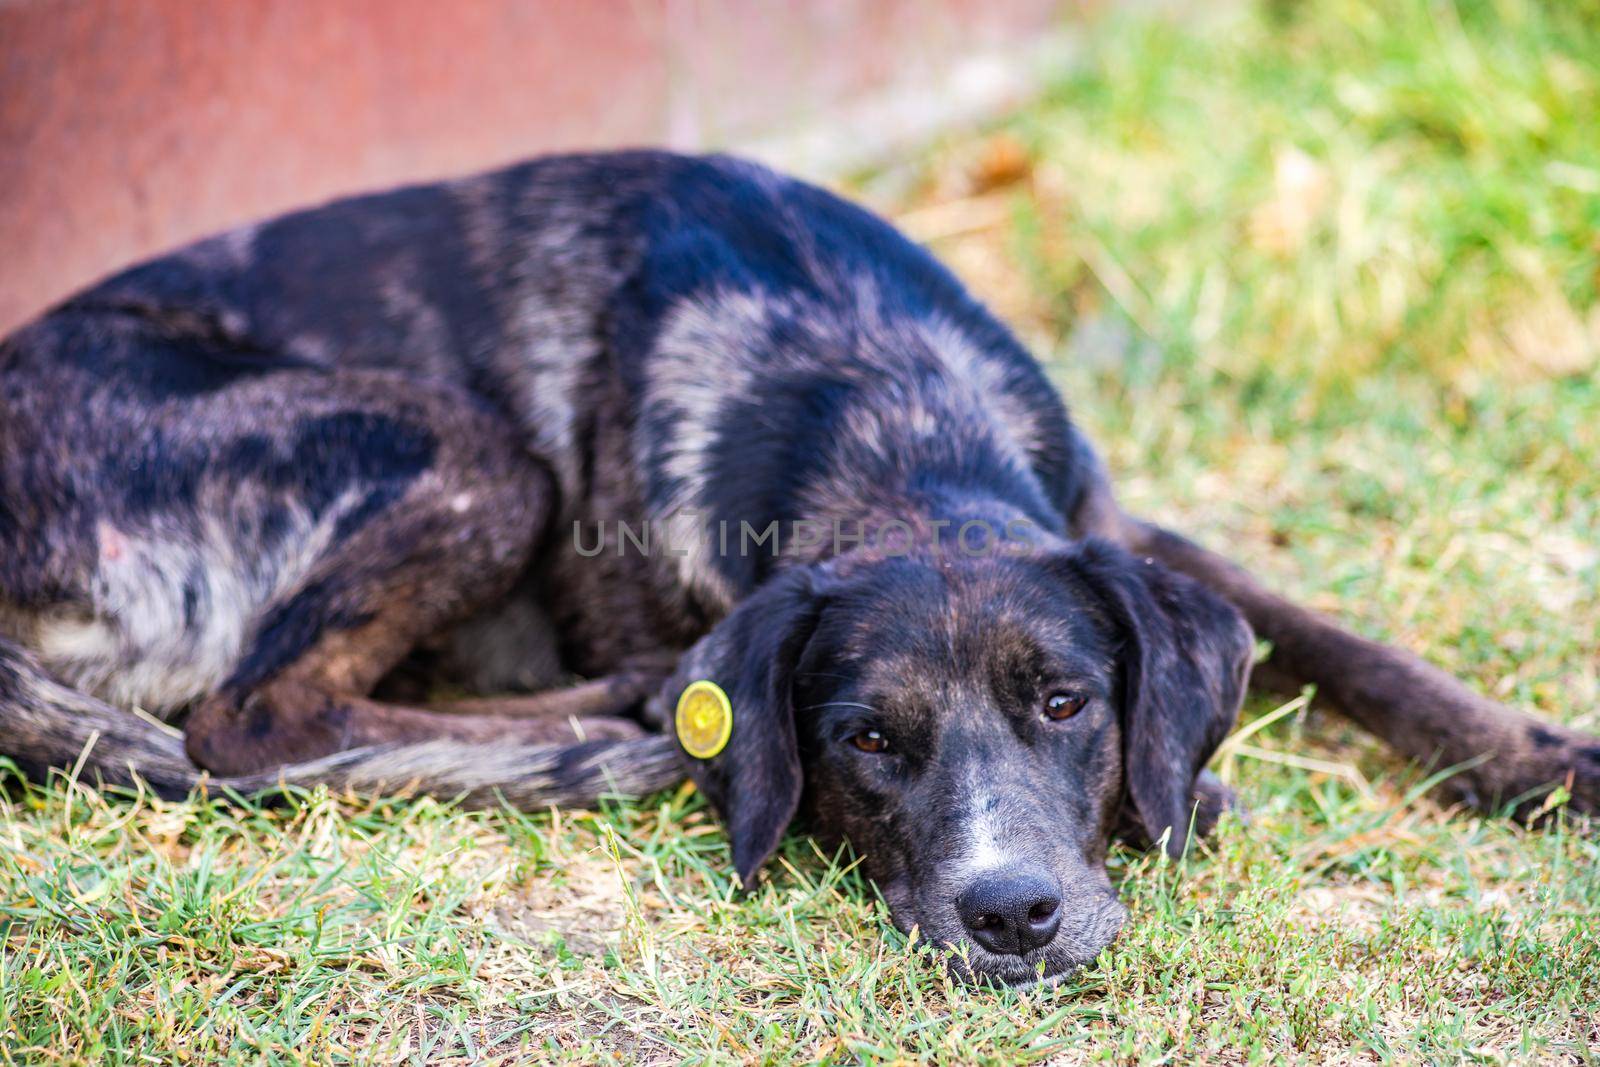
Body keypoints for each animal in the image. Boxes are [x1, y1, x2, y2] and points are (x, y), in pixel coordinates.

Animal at [0, 147, 1593, 985]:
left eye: (1067, 701)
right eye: (865, 741)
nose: (1011, 916)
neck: (882, 409)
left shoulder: (1113, 519)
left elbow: (1348, 644)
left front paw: (1543, 758)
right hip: (460, 446)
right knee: (260, 719)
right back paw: (614, 715)